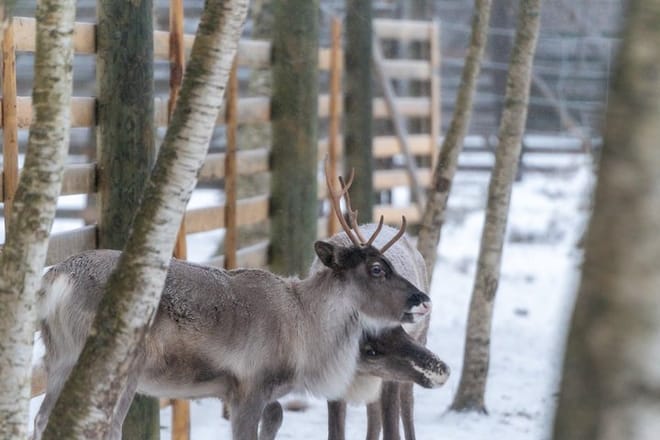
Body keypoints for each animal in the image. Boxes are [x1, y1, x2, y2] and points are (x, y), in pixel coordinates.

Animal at [33, 167, 434, 440]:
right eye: (377, 268)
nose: (424, 298)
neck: (304, 327)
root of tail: (55, 279)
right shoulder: (249, 387)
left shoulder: (250, 393)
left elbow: (276, 417)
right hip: (118, 365)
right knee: (104, 426)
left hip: (60, 356)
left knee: (42, 417)